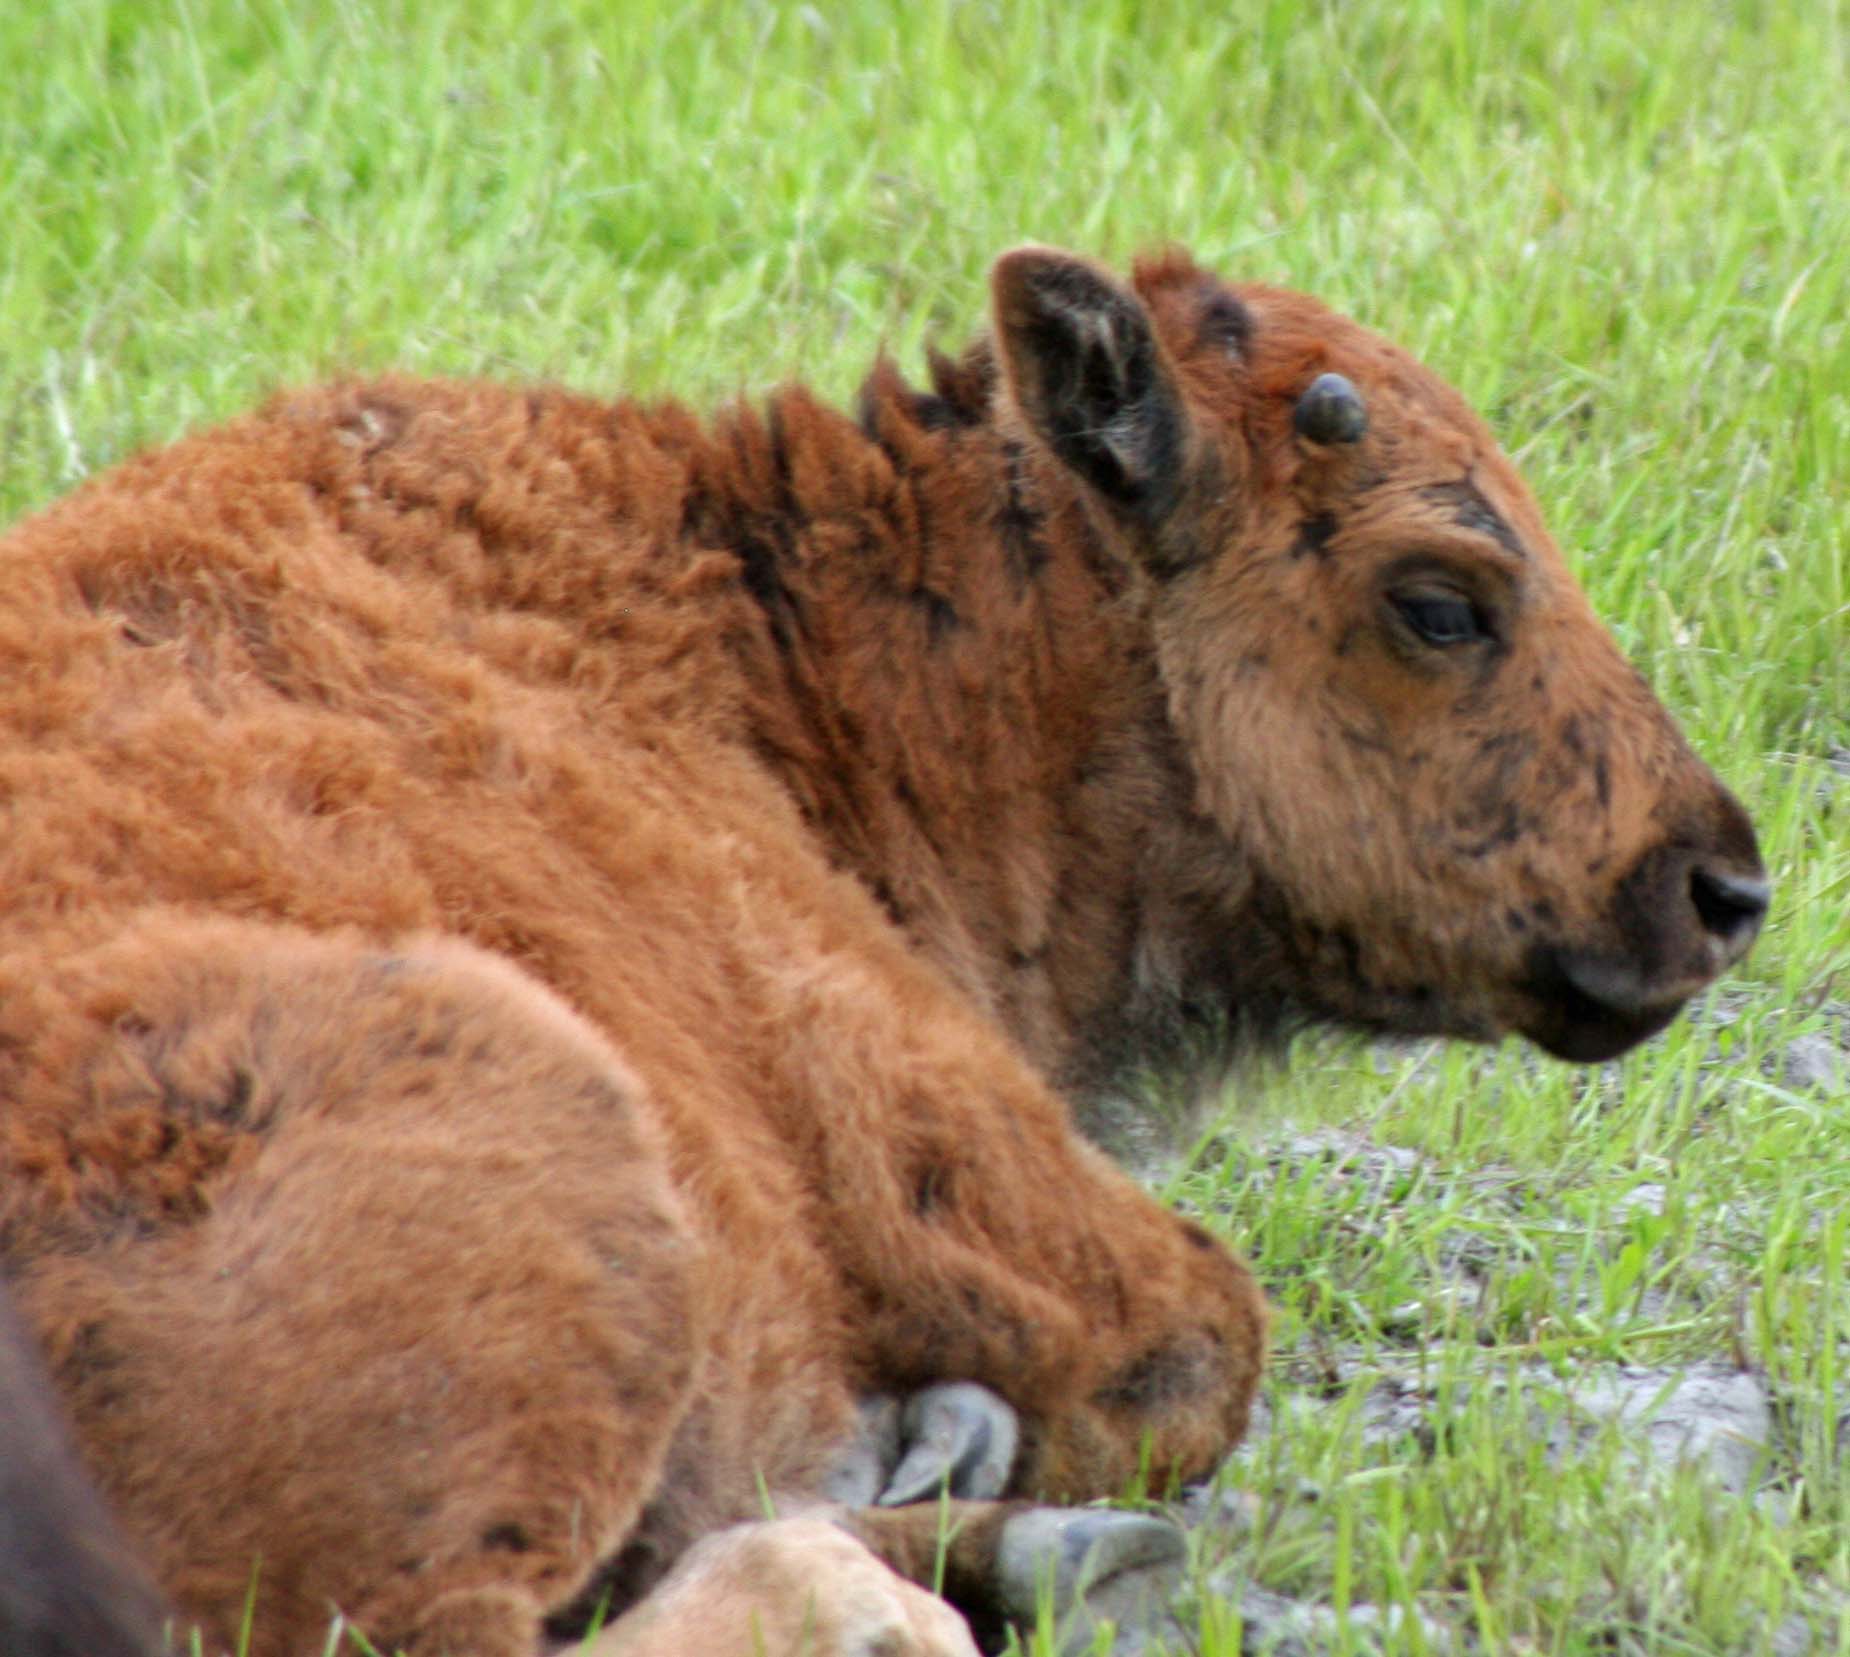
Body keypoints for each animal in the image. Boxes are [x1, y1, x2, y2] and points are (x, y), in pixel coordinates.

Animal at [0, 245, 1765, 1655]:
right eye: (1439, 600)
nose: (1719, 885)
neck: (790, 655)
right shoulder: (942, 1141)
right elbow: (1211, 1328)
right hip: (547, 1128)